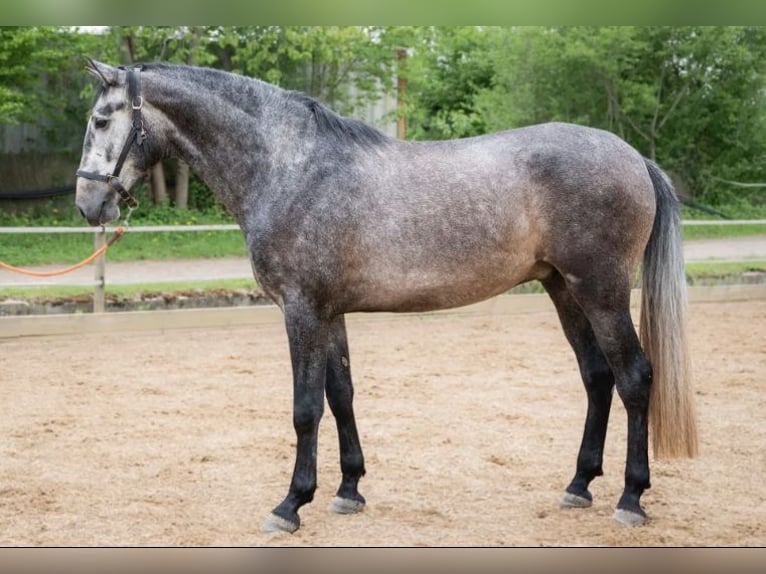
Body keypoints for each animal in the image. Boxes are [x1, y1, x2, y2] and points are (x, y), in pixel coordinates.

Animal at [74, 59, 698, 533]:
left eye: (102, 120)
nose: (87, 204)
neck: (289, 166)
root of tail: (634, 157)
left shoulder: (301, 311)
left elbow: (305, 408)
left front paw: (291, 504)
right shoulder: (329, 313)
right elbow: (342, 395)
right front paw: (348, 489)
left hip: (602, 291)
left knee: (634, 378)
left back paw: (630, 498)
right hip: (564, 290)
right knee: (597, 378)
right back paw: (578, 484)